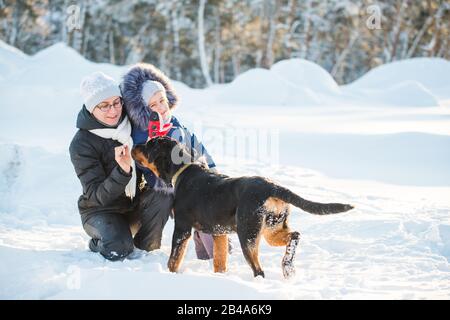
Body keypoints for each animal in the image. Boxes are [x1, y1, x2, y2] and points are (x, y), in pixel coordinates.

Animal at [132, 136, 354, 278]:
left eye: (149, 144)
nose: (134, 144)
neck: (184, 171)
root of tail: (272, 186)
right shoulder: (219, 234)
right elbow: (219, 262)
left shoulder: (182, 229)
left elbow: (173, 260)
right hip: (272, 230)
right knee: (295, 235)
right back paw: (287, 267)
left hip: (247, 234)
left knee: (259, 270)